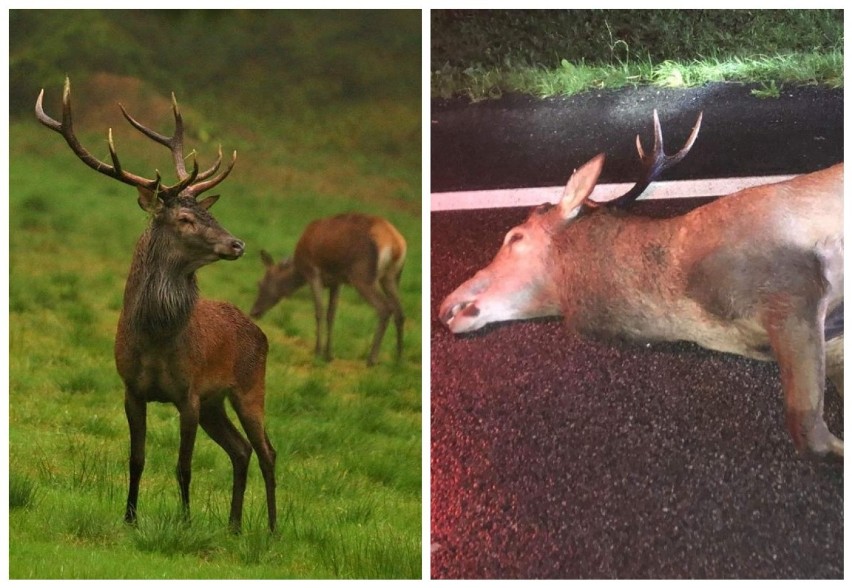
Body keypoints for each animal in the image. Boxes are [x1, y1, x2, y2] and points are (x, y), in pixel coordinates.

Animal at [36, 78, 276, 532]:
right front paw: (130, 517)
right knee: (241, 450)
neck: (154, 339)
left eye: (207, 213)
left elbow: (184, 466)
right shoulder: (132, 390)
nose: (237, 244)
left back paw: (272, 529)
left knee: (267, 450)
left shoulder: (190, 394)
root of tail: (260, 332)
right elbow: (137, 458)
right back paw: (234, 526)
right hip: (218, 402)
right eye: (184, 219)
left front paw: (184, 520)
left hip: (250, 387)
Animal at [250, 214, 406, 366]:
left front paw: (318, 351)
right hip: (391, 277)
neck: (299, 269)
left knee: (385, 308)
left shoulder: (313, 272)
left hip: (362, 275)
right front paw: (328, 355)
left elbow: (319, 312)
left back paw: (371, 359)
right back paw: (398, 359)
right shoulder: (336, 281)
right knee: (399, 312)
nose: (254, 312)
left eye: (260, 284)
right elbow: (331, 315)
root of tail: (396, 245)